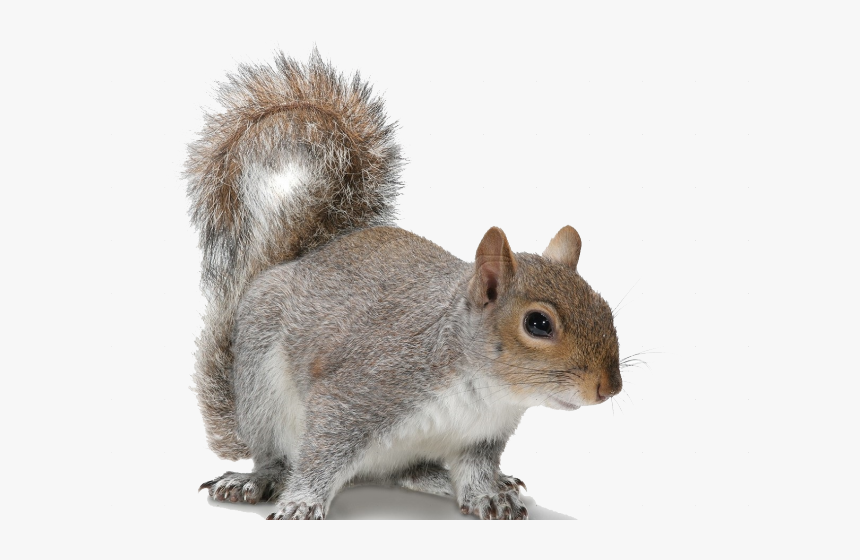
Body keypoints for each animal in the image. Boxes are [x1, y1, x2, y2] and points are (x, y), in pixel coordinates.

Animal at [187, 50, 623, 520]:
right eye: (538, 324)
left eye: (606, 309)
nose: (610, 387)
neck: (484, 392)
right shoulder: (360, 391)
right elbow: (320, 455)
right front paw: (301, 503)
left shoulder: (480, 438)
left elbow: (474, 471)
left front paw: (488, 495)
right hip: (261, 386)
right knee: (278, 456)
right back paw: (256, 479)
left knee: (407, 473)